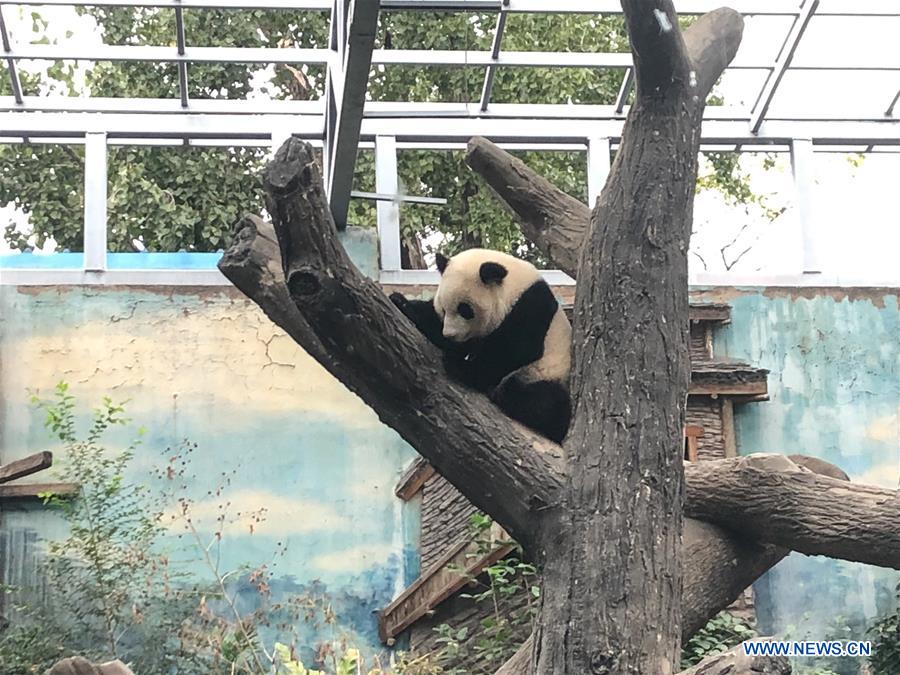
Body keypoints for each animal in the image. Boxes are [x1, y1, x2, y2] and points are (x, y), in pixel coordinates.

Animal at [386, 248, 568, 444]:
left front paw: (459, 366)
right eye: (443, 309)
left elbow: (515, 350)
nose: (449, 335)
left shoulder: (530, 307)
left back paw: (500, 394)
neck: (514, 288)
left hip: (547, 373)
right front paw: (401, 302)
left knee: (545, 400)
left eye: (465, 310)